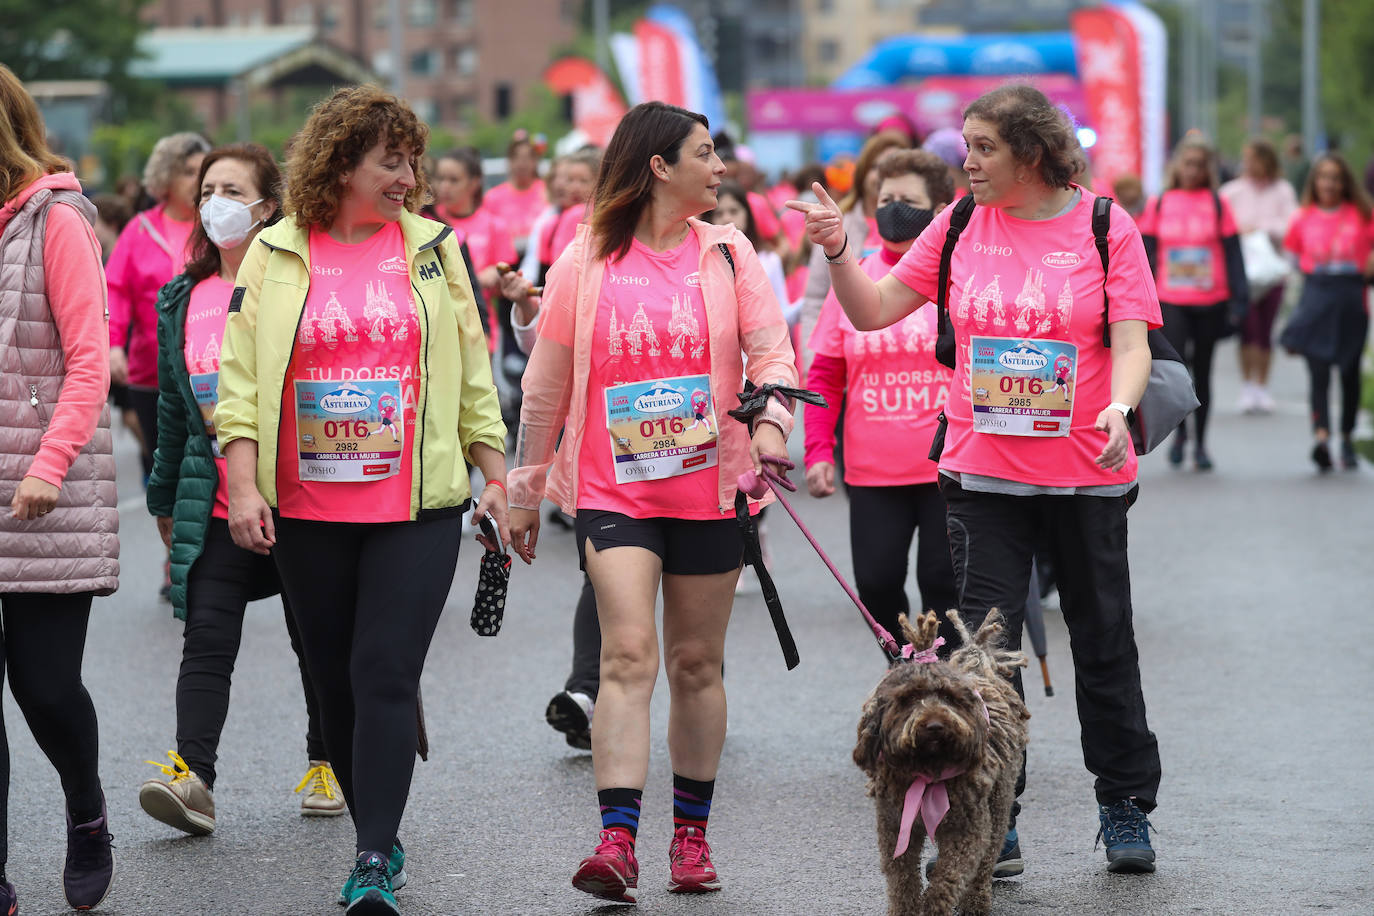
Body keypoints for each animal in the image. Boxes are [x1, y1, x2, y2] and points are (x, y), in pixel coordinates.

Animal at [851, 609, 1027, 916]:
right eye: (909, 697)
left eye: (948, 696)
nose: (934, 725)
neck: (926, 770)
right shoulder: (894, 826)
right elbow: (902, 878)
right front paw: (905, 910)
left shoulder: (966, 829)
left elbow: (949, 877)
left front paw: (933, 906)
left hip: (997, 804)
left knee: (985, 862)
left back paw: (975, 903)